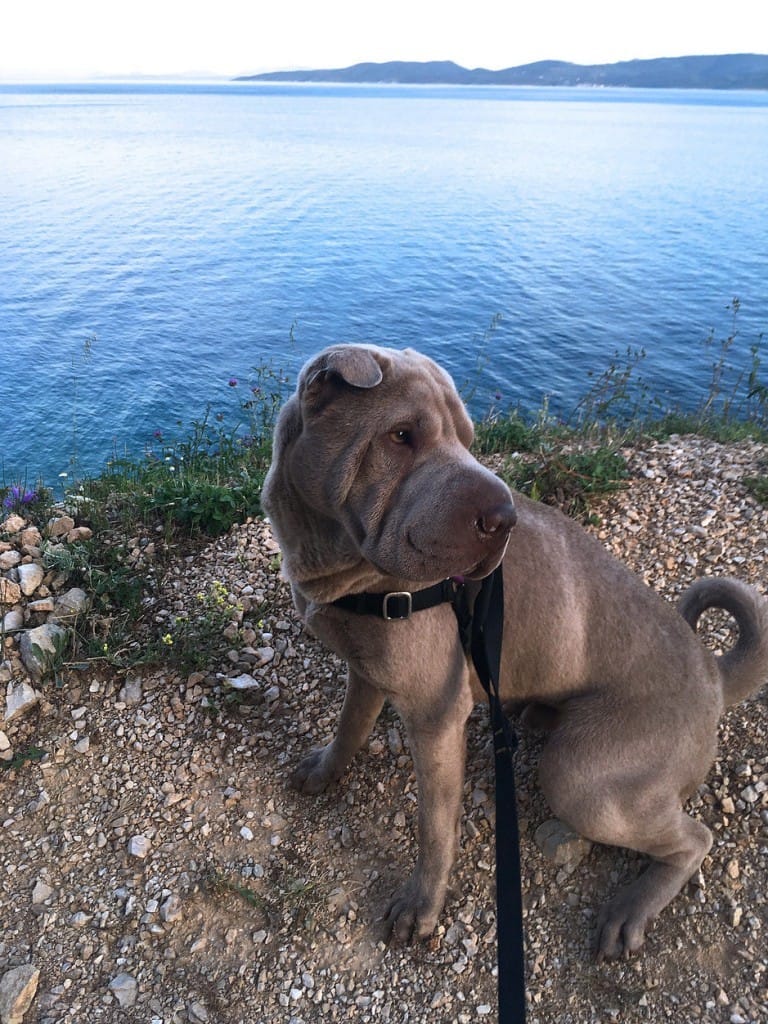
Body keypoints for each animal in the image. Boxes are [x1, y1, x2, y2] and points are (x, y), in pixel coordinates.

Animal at [260, 344, 768, 958]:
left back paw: (631, 909)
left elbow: (434, 827)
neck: (344, 572)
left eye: (468, 438)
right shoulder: (367, 672)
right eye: (401, 435)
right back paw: (538, 712)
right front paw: (325, 770)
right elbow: (348, 728)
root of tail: (714, 674)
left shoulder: (436, 717)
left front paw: (421, 906)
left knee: (693, 838)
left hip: (584, 776)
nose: (504, 519)